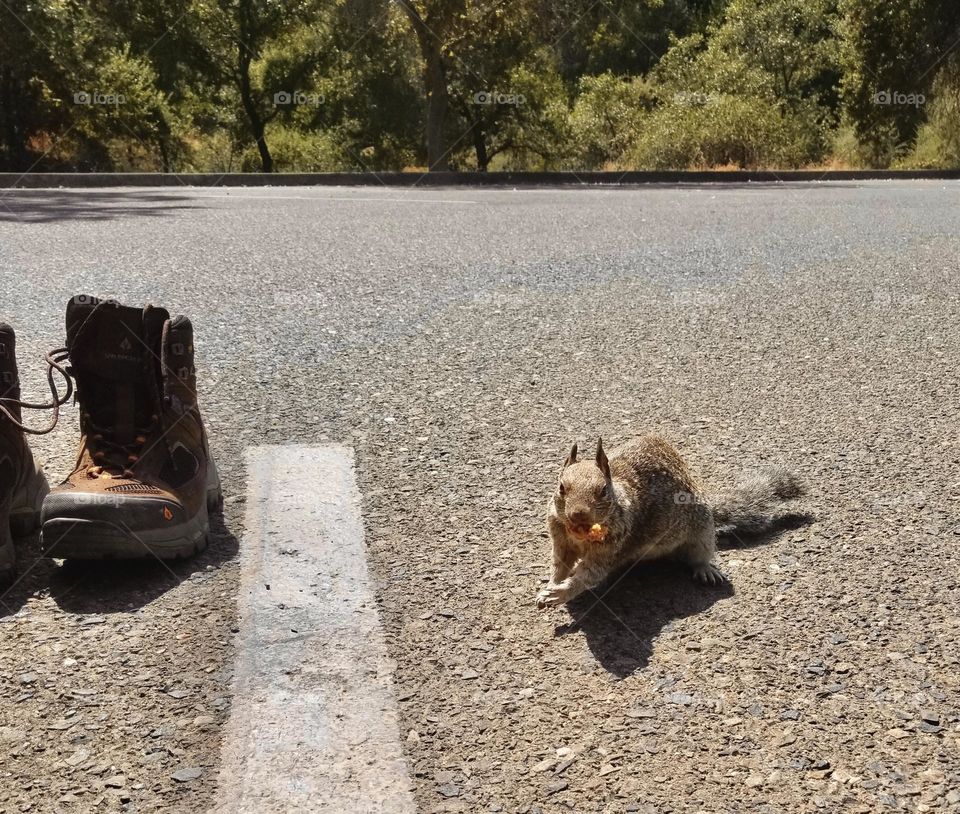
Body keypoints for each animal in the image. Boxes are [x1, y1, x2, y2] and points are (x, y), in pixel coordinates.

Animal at [536, 436, 808, 608]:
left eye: (603, 491)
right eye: (561, 487)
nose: (578, 514)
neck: (578, 534)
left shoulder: (611, 548)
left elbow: (588, 575)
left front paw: (559, 593)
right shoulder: (560, 541)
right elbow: (560, 566)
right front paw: (551, 584)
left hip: (702, 533)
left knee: (700, 554)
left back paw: (705, 569)